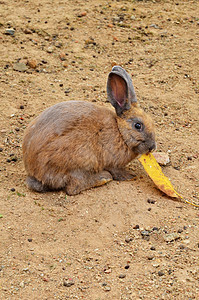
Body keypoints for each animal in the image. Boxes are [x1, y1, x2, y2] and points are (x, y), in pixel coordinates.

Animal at [22, 66, 155, 195]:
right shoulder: (113, 163)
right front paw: (130, 176)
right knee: (73, 187)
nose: (152, 147)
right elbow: (117, 172)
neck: (120, 132)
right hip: (78, 161)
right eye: (138, 125)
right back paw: (103, 178)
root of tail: (35, 173)